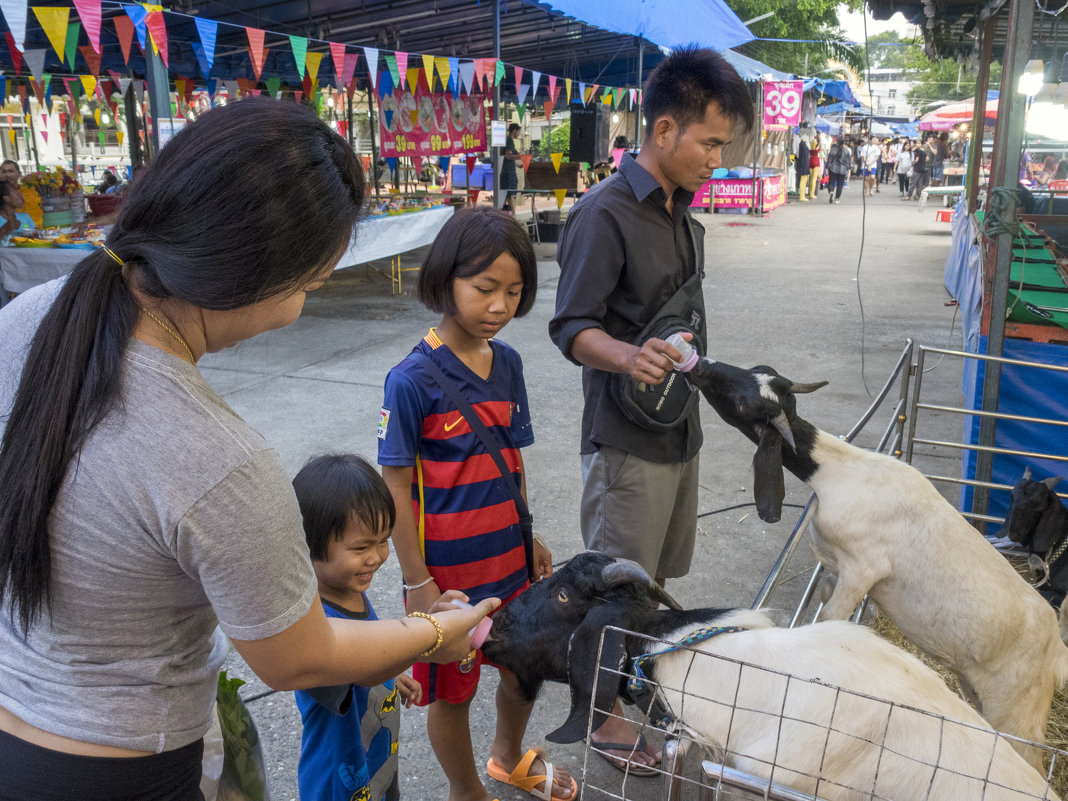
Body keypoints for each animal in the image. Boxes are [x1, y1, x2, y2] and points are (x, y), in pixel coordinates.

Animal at [687, 358, 1068, 773]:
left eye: (747, 403)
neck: (838, 469)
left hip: (1018, 706)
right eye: (754, 371)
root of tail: (1057, 652)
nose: (702, 364)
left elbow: (830, 619)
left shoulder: (862, 569)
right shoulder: (837, 570)